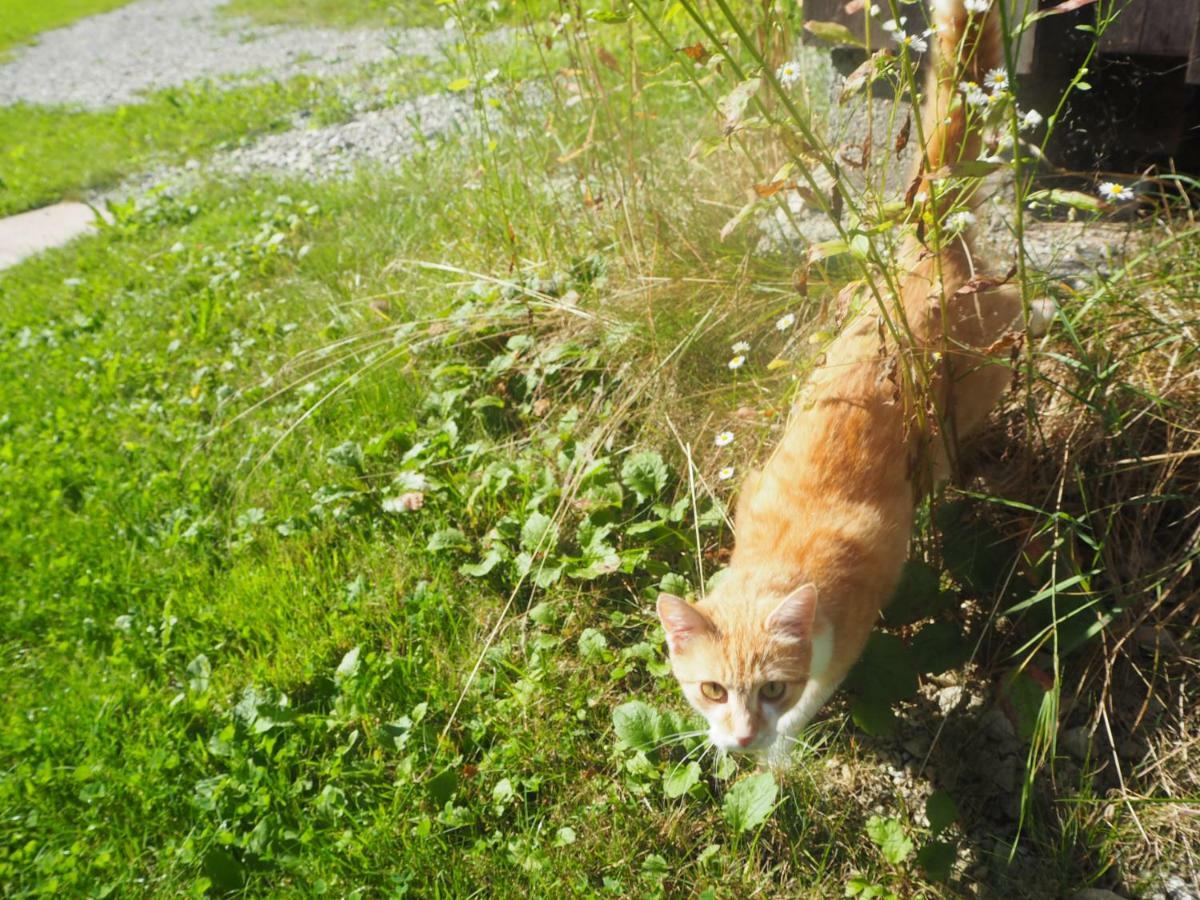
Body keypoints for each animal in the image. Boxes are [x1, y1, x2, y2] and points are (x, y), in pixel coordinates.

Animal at [657, 0, 1051, 763]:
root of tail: (926, 241)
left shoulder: (864, 604)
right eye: (711, 689)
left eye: (771, 688)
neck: (782, 553)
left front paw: (780, 750)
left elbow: (824, 686)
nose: (741, 736)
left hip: (983, 368)